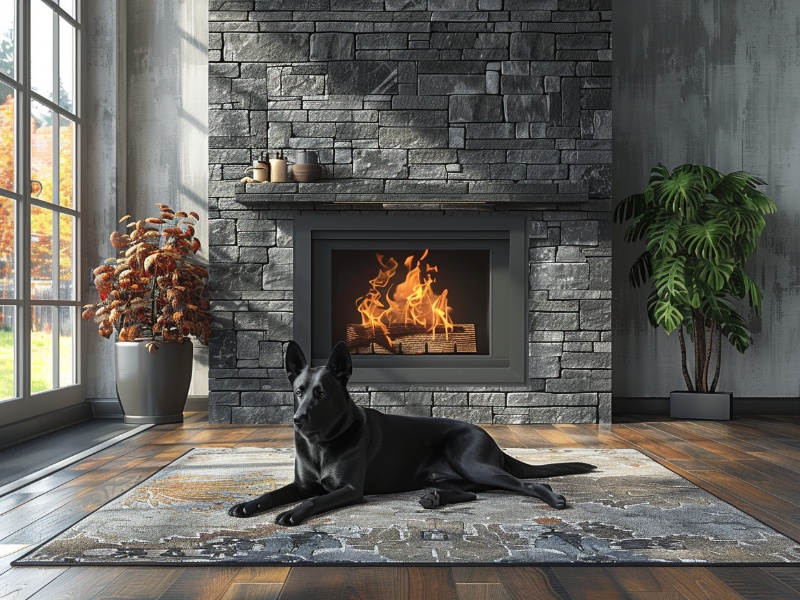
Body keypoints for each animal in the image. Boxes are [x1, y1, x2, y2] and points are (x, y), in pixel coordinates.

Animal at [228, 340, 596, 528]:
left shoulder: (350, 489)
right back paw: (435, 499)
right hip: (450, 475)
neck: (321, 444)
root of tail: (486, 434)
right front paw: (248, 505)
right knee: (471, 493)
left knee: (527, 484)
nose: (297, 420)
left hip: (471, 462)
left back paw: (554, 499)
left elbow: (315, 499)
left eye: (322, 393)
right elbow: (274, 493)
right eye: (299, 391)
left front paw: (292, 513)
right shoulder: (302, 484)